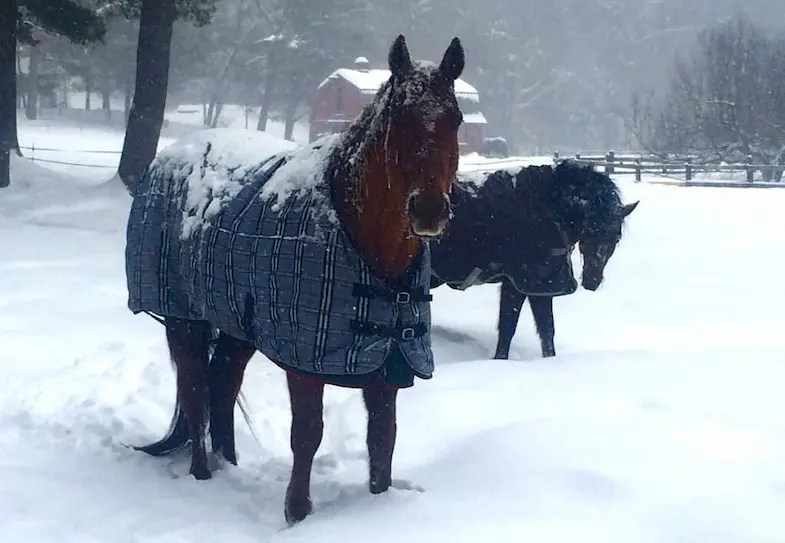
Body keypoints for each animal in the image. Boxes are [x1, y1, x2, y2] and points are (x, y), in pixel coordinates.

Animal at [124, 34, 466, 524]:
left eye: (455, 118)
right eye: (399, 118)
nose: (430, 211)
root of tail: (170, 155)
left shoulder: (390, 364)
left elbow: (382, 441)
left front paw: (379, 507)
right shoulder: (305, 365)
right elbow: (307, 435)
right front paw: (297, 514)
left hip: (236, 327)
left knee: (221, 385)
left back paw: (230, 466)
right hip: (182, 318)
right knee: (193, 391)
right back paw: (203, 475)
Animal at [430, 161, 637, 359]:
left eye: (616, 238)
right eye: (590, 230)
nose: (592, 281)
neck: (543, 208)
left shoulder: (538, 286)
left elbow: (546, 330)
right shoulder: (519, 284)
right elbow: (508, 328)